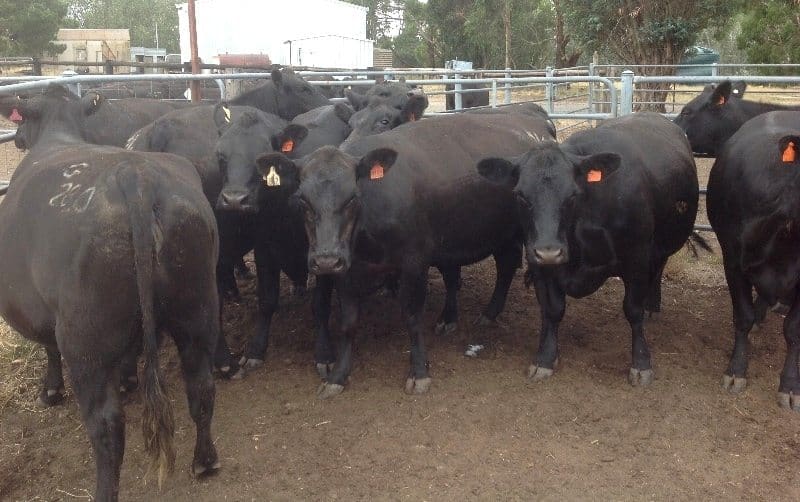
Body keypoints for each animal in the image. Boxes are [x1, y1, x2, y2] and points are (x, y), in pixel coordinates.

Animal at [0, 85, 220, 498]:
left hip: (84, 339)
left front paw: (50, 391)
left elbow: (48, 349)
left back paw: (104, 491)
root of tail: (135, 174)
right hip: (197, 306)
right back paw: (205, 461)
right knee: (201, 386)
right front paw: (128, 378)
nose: (17, 139)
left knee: (107, 428)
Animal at [258, 112, 556, 398]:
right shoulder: (346, 270)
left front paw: (419, 372)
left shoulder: (414, 262)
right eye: (302, 200)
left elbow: (412, 317)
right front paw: (338, 376)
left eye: (352, 197)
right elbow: (348, 323)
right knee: (504, 264)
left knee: (508, 267)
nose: (326, 259)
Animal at [478, 113, 696, 386]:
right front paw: (545, 358)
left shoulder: (636, 255)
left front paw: (641, 363)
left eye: (572, 195)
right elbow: (552, 310)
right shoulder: (539, 263)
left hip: (662, 244)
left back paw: (652, 305)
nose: (549, 251)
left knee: (658, 269)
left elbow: (632, 310)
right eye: (520, 196)